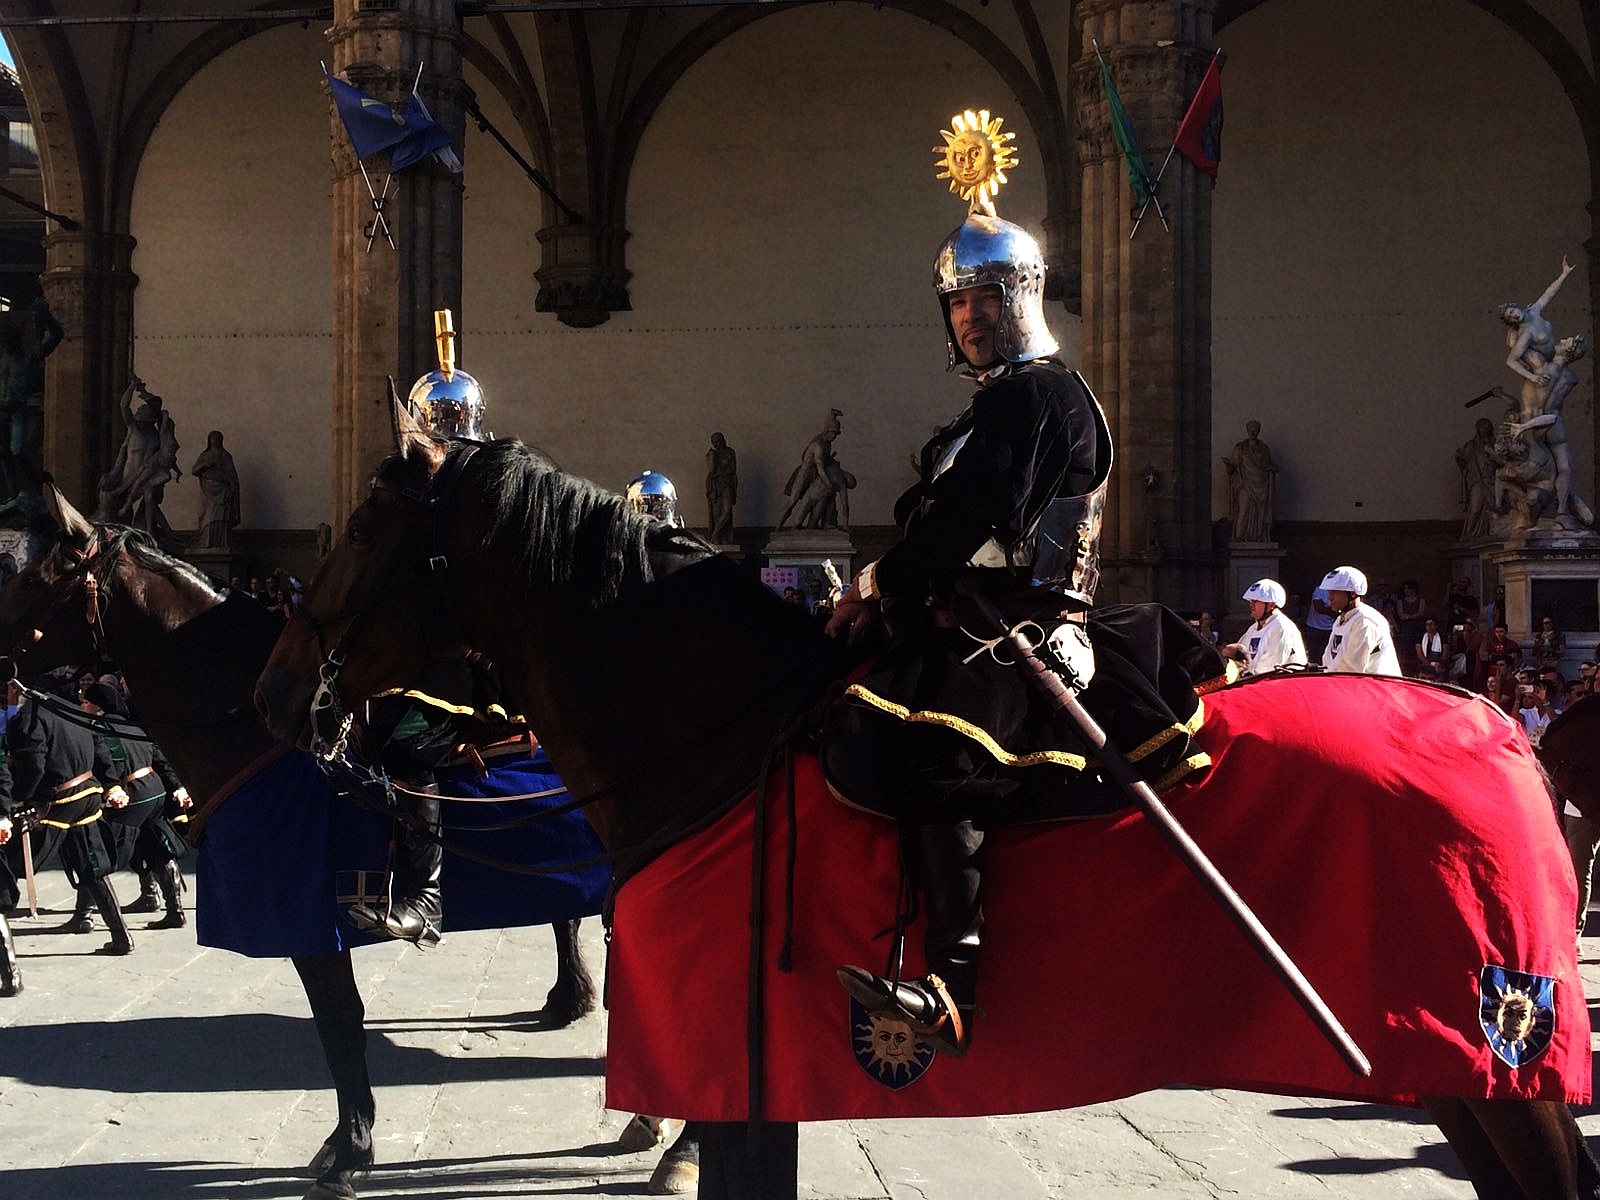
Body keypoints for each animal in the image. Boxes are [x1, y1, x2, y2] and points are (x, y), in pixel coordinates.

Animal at [0, 486, 601, 1200]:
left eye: (30, 578)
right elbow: (335, 1028)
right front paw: (343, 1145)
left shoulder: (311, 921)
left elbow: (340, 1026)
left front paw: (350, 1155)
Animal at [259, 406, 1600, 1200]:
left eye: (368, 521)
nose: (278, 688)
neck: (724, 733)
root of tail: (1495, 722)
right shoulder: (748, 1085)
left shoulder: (733, 1071)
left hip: (1490, 1041)